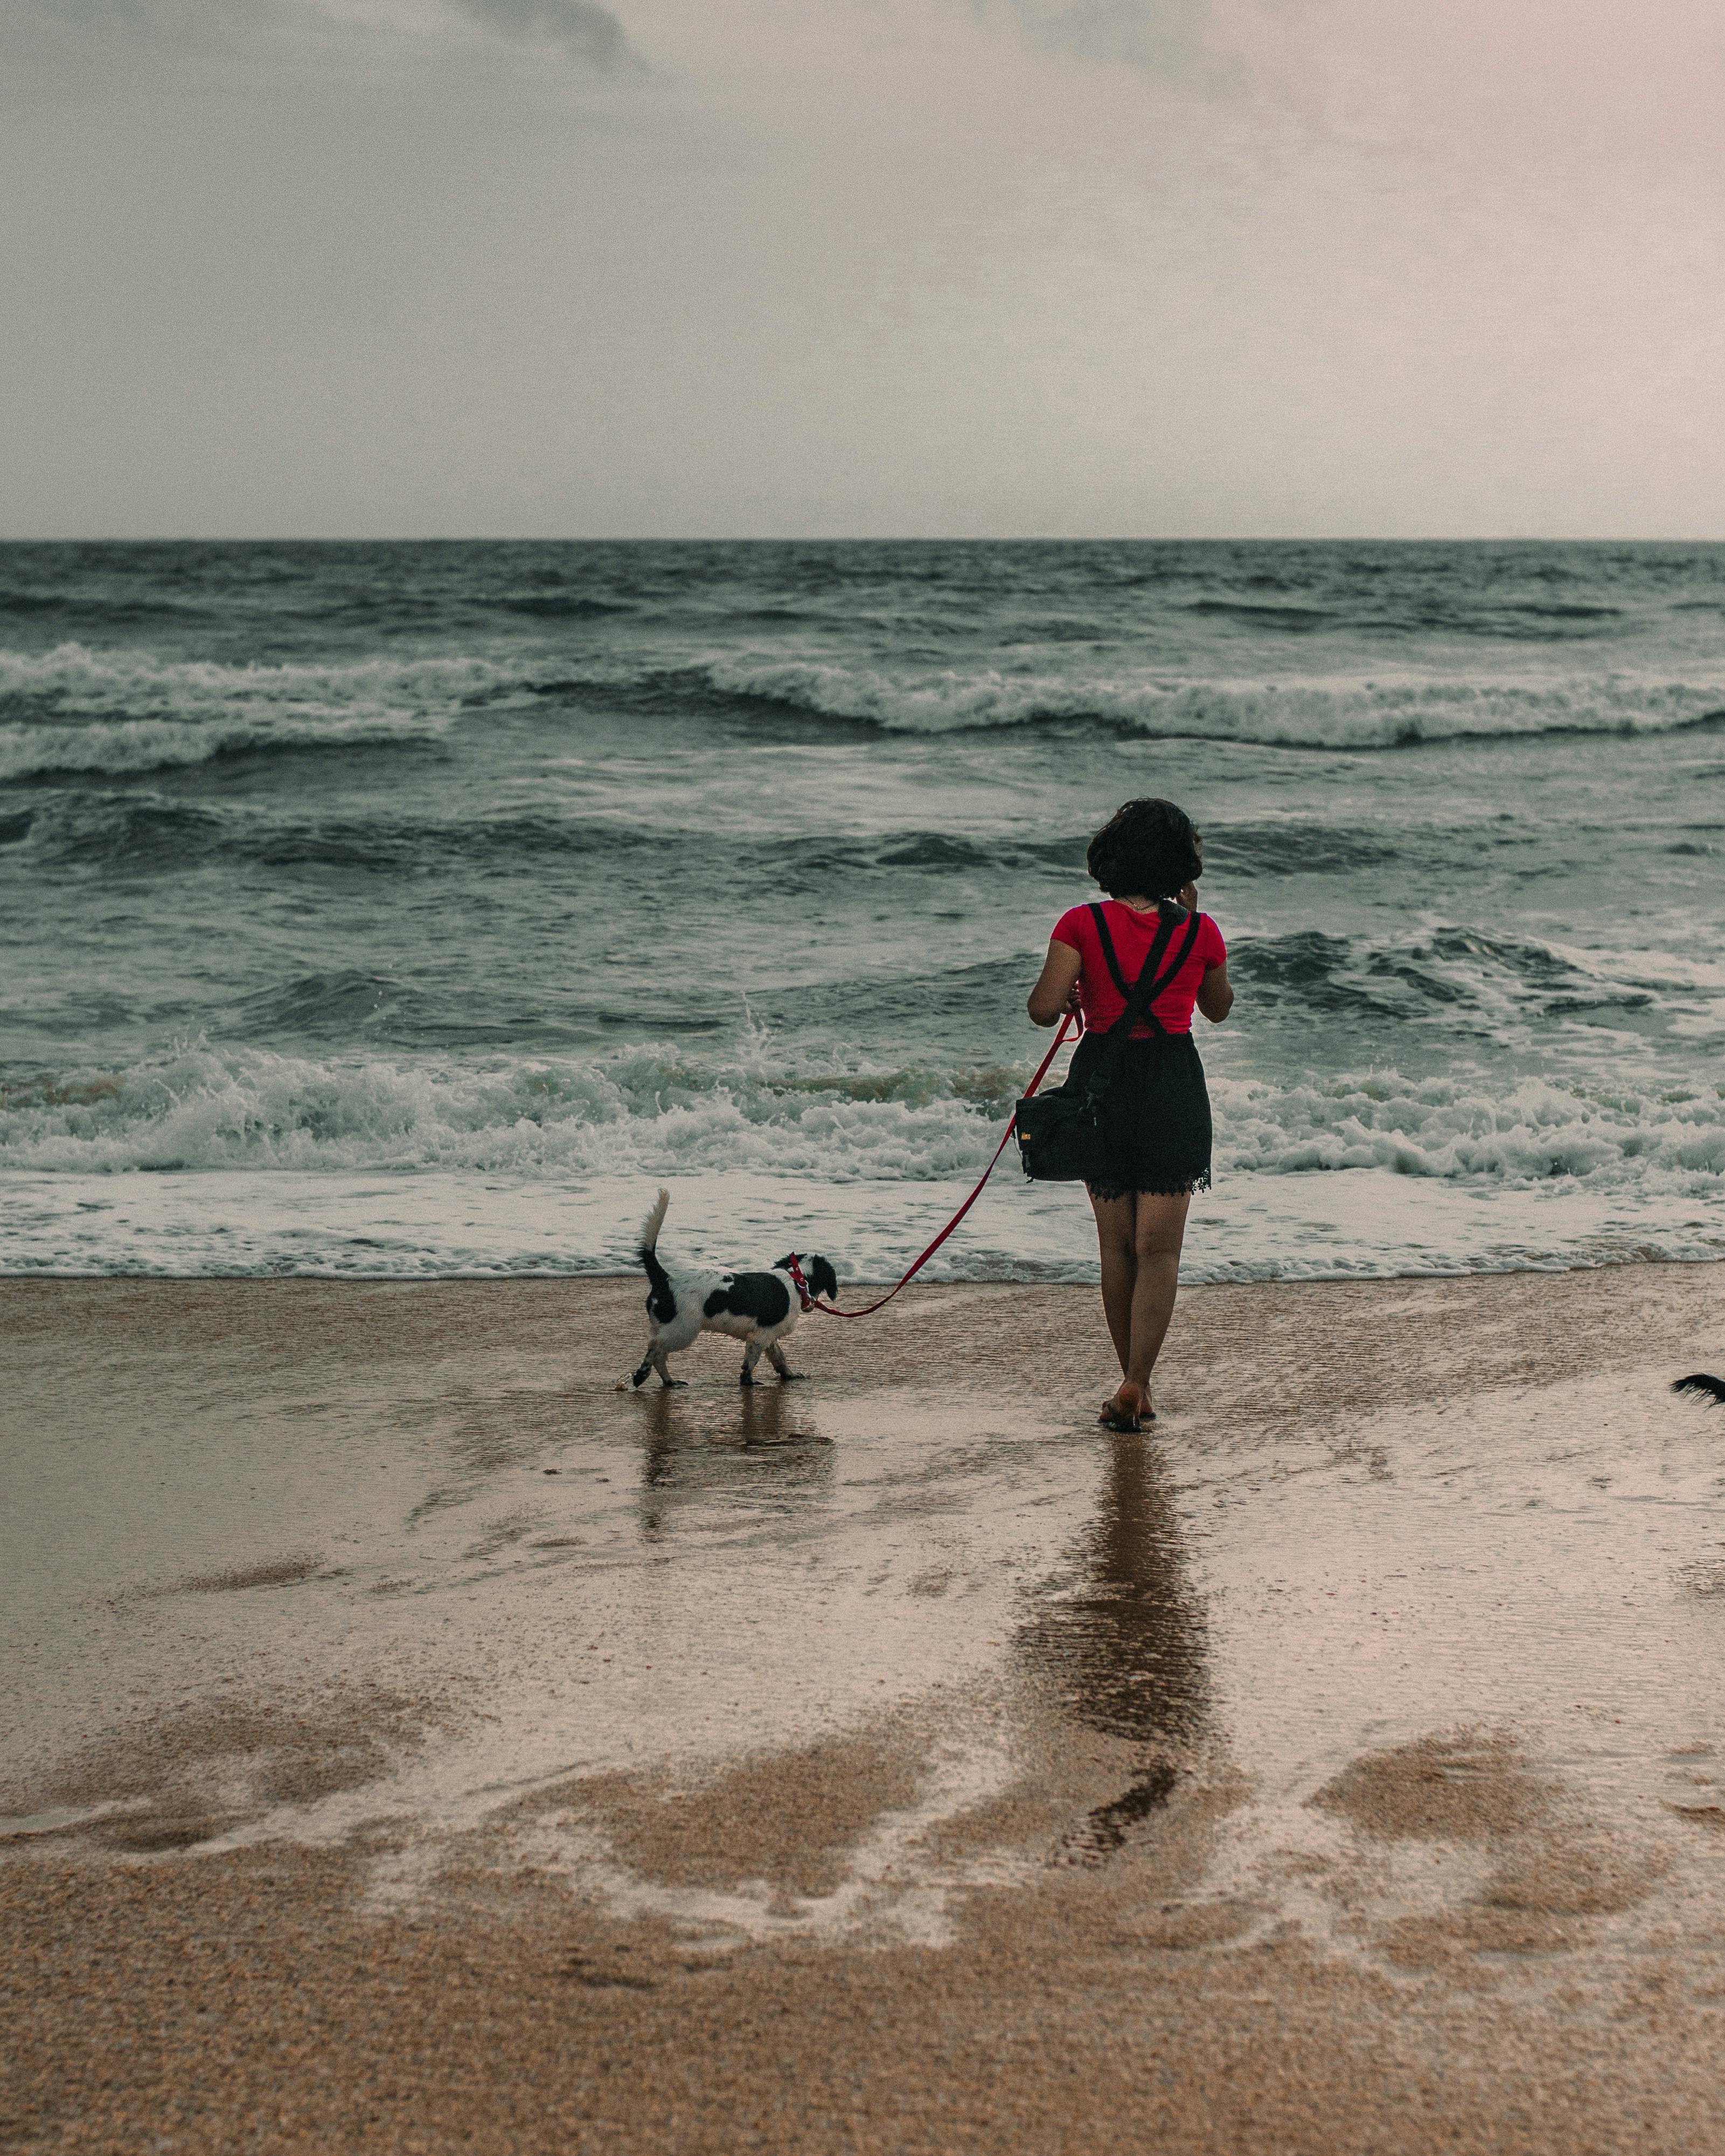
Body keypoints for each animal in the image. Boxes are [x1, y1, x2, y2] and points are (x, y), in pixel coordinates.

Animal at [634, 1190, 840, 1388]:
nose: (810, 1306)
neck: (797, 1279)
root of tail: (666, 1278)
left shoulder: (769, 1335)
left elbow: (779, 1357)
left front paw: (789, 1374)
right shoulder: (759, 1337)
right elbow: (751, 1362)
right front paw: (748, 1381)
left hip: (664, 1326)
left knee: (658, 1354)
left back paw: (669, 1381)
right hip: (683, 1329)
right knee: (656, 1347)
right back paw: (642, 1375)